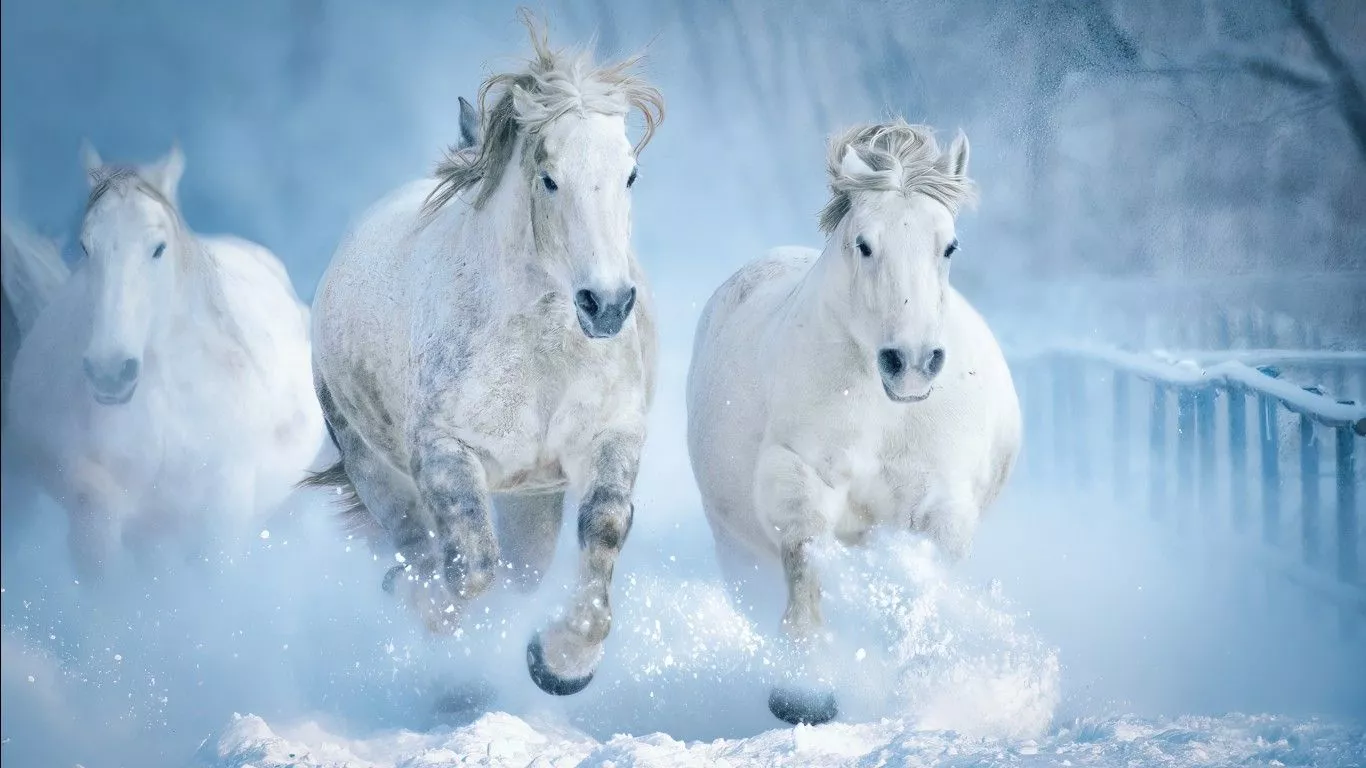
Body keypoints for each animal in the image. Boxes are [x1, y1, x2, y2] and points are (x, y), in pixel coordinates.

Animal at [304, 12, 664, 698]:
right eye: (549, 178)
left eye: (631, 174)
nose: (606, 304)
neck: (540, 356)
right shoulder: (445, 452)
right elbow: (468, 569)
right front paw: (442, 623)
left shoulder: (611, 436)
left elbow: (602, 534)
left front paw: (560, 662)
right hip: (371, 464)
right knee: (420, 548)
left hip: (531, 500)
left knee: (522, 571)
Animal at [685, 120, 1021, 726]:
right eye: (864, 243)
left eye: (949, 245)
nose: (911, 361)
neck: (886, 413)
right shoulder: (794, 470)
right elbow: (804, 555)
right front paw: (803, 690)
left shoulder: (944, 499)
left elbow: (920, 584)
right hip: (736, 549)